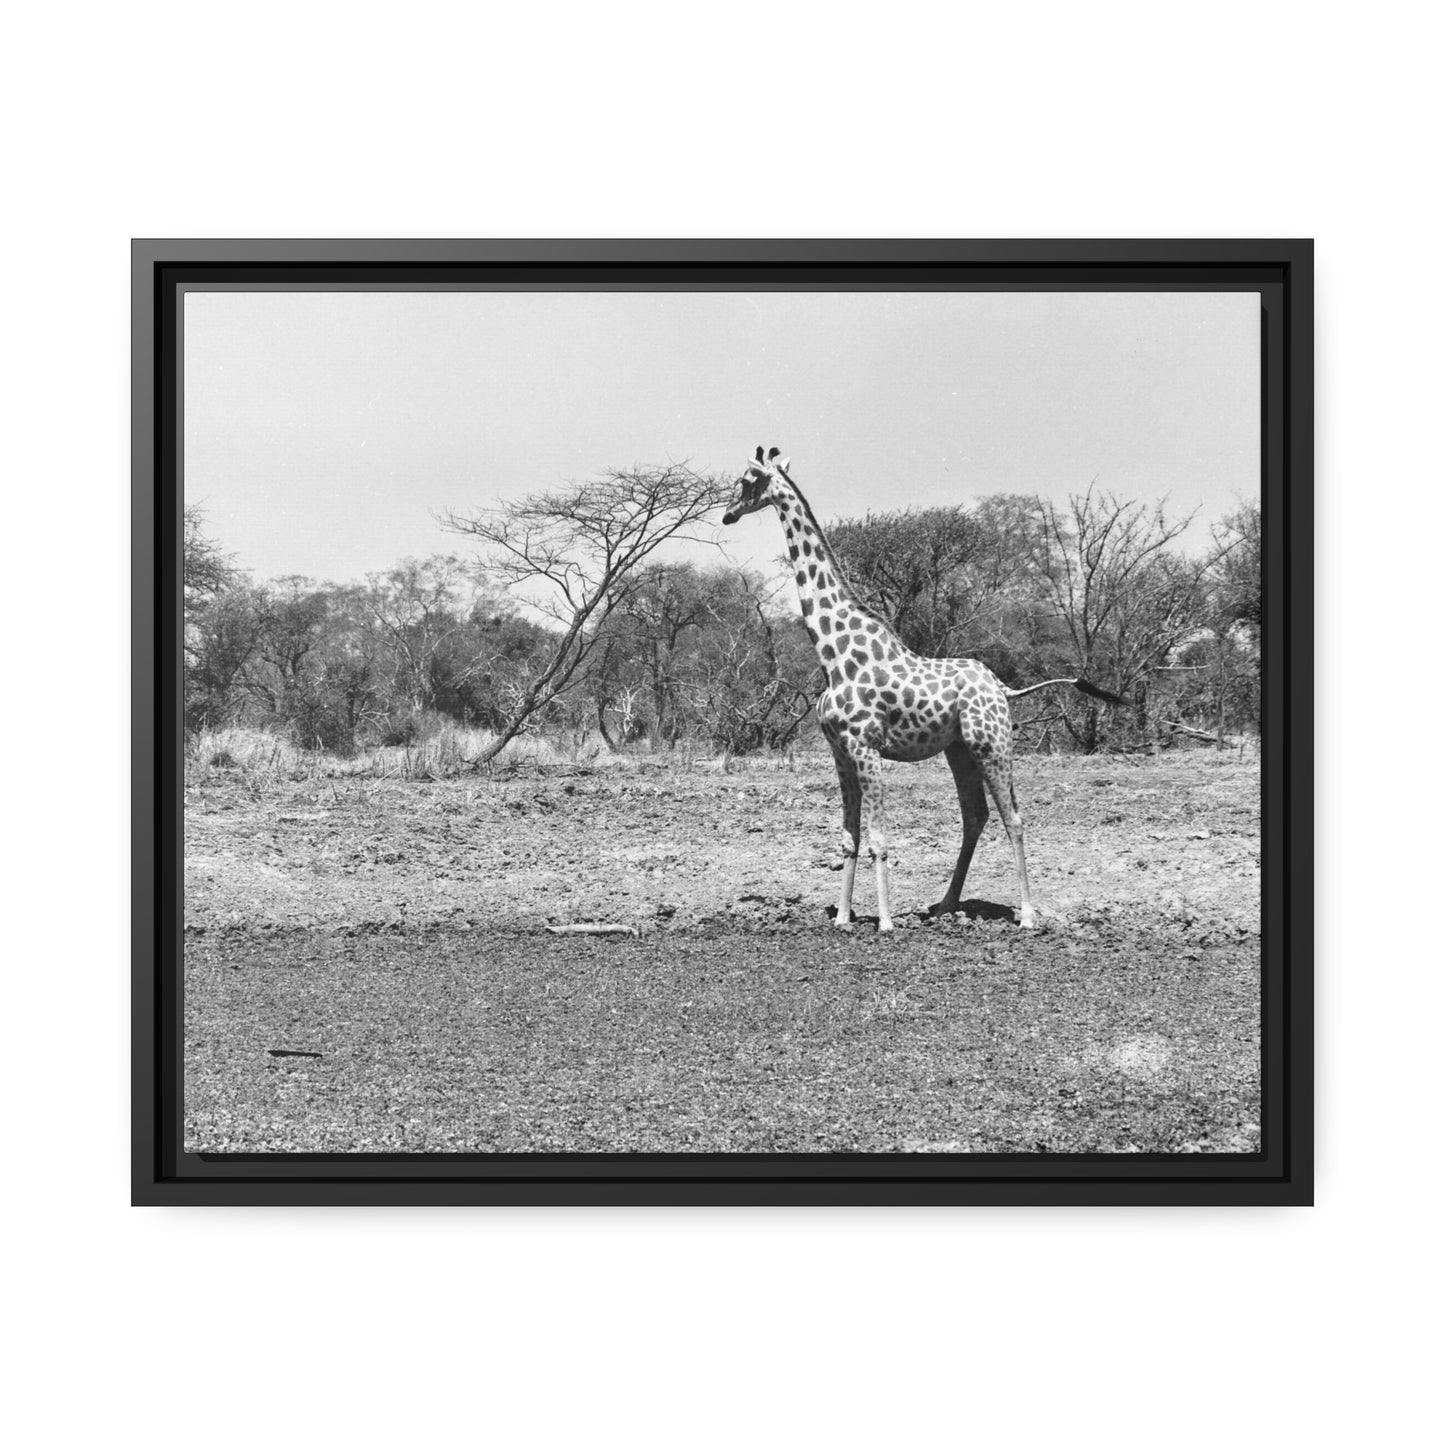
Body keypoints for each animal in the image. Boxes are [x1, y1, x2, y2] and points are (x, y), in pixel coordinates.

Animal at [721, 447, 1122, 933]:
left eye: (746, 481)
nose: (727, 514)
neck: (833, 655)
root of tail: (1003, 688)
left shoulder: (866, 748)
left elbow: (878, 838)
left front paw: (885, 922)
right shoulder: (839, 752)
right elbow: (849, 838)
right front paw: (842, 917)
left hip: (992, 743)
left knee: (1014, 817)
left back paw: (1026, 915)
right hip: (960, 749)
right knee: (975, 816)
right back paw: (945, 905)